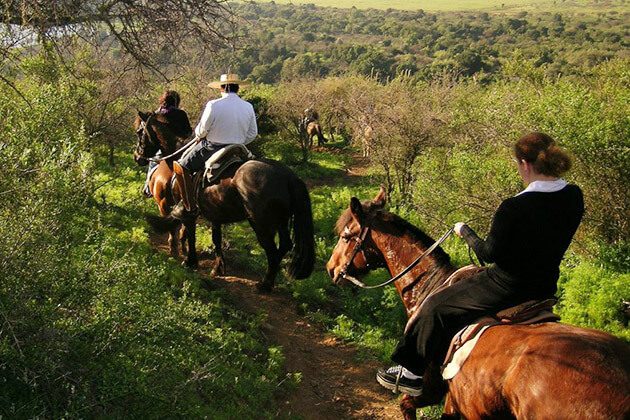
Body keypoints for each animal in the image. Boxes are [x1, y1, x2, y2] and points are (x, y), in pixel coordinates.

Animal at [328, 188, 630, 420]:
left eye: (345, 236)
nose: (331, 268)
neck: (432, 285)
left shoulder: (431, 389)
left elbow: (406, 404)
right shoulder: (452, 398)